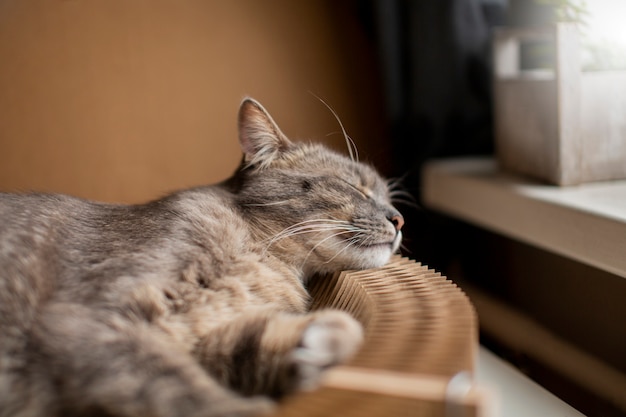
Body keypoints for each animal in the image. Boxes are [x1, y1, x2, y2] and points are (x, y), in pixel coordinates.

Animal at [0, 98, 404, 416]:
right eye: (354, 187)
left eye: (390, 198)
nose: (400, 219)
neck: (268, 261)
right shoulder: (91, 318)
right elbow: (179, 390)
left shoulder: (200, 340)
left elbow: (251, 344)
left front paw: (322, 339)